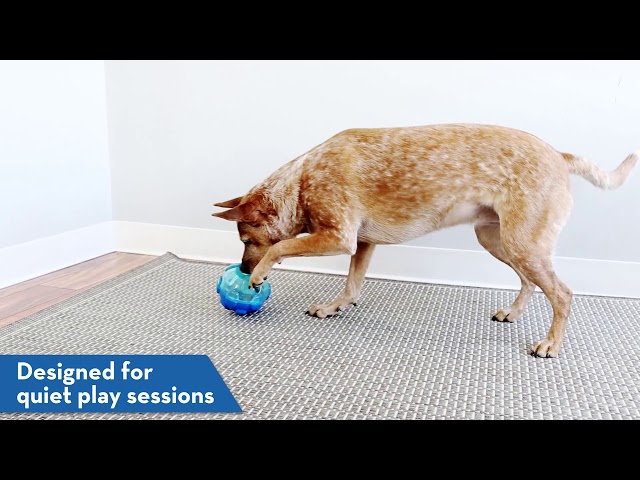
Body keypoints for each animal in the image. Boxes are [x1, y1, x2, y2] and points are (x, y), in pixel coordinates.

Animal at [214, 124, 636, 356]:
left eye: (246, 240)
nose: (242, 270)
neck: (302, 180)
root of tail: (559, 154)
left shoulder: (338, 237)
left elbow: (282, 246)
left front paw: (261, 273)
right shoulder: (362, 244)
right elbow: (351, 285)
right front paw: (335, 306)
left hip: (522, 244)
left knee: (562, 294)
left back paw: (550, 344)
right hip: (498, 239)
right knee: (529, 282)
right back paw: (513, 313)